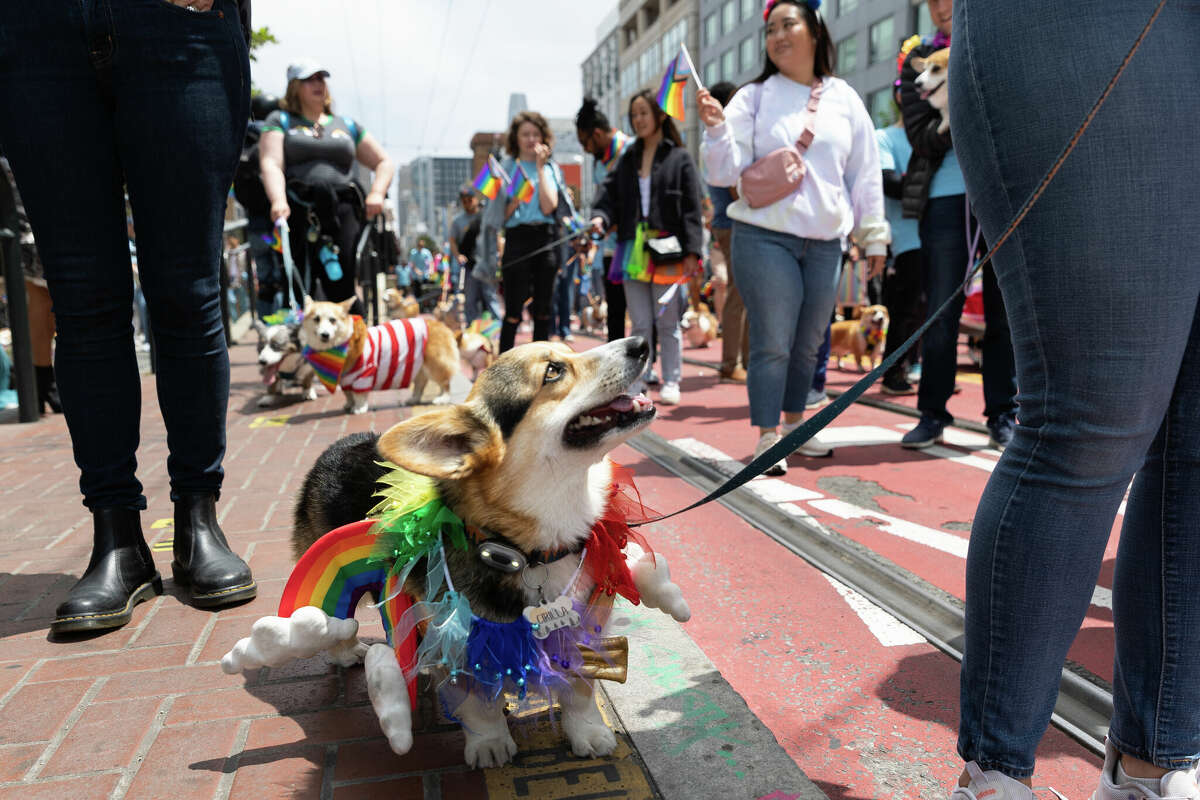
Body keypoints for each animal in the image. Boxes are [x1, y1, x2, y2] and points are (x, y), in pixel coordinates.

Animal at [220, 338, 691, 767]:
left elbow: (579, 690)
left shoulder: (581, 629)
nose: (641, 343)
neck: (533, 549)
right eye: (553, 371)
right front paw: (489, 744)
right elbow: (476, 703)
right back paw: (346, 651)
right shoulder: (456, 639)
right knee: (333, 620)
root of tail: (341, 443)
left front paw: (589, 734)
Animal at [298, 297, 458, 417]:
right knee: (420, 383)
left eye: (332, 320)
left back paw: (442, 398)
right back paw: (413, 399)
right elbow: (348, 394)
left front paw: (359, 408)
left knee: (445, 383)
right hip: (419, 366)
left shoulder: (362, 375)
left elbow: (359, 396)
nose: (324, 335)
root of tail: (441, 325)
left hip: (434, 365)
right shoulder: (345, 378)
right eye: (316, 319)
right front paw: (348, 405)